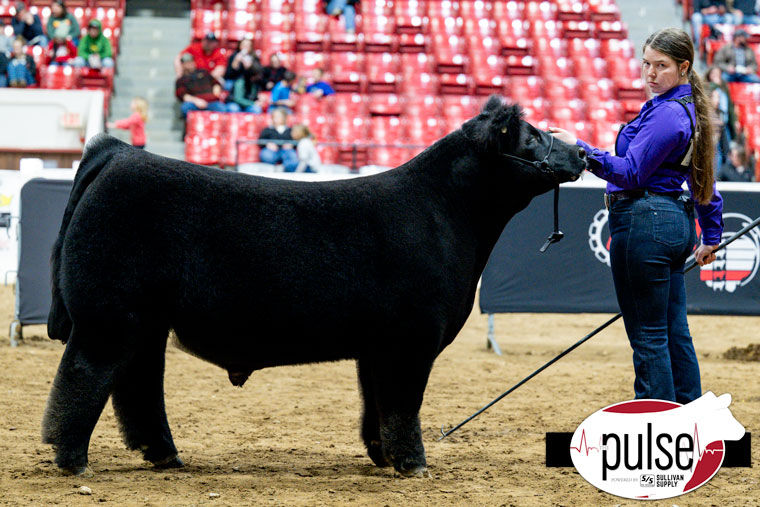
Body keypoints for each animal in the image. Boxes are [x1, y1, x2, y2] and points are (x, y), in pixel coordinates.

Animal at [42, 96, 587, 477]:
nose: (582, 151)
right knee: (83, 378)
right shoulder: (412, 340)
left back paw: (165, 456)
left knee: (136, 386)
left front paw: (382, 456)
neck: (445, 212)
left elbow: (377, 404)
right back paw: (72, 459)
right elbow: (404, 403)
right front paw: (413, 464)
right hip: (109, 319)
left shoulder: (378, 346)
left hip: (145, 323)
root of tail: (116, 154)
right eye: (531, 137)